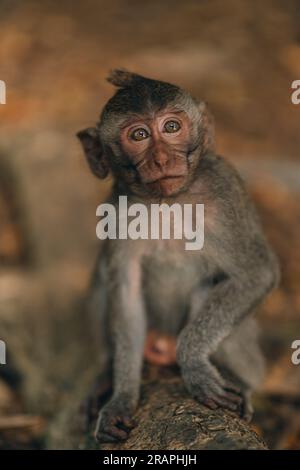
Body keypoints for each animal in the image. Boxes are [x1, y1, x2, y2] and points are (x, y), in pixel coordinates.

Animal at [77, 68, 278, 442]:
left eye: (171, 127)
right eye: (139, 135)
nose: (160, 159)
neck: (168, 201)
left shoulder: (225, 189)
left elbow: (256, 274)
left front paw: (195, 365)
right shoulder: (116, 212)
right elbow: (125, 294)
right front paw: (120, 398)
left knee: (211, 287)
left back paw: (240, 382)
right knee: (103, 281)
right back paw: (103, 379)